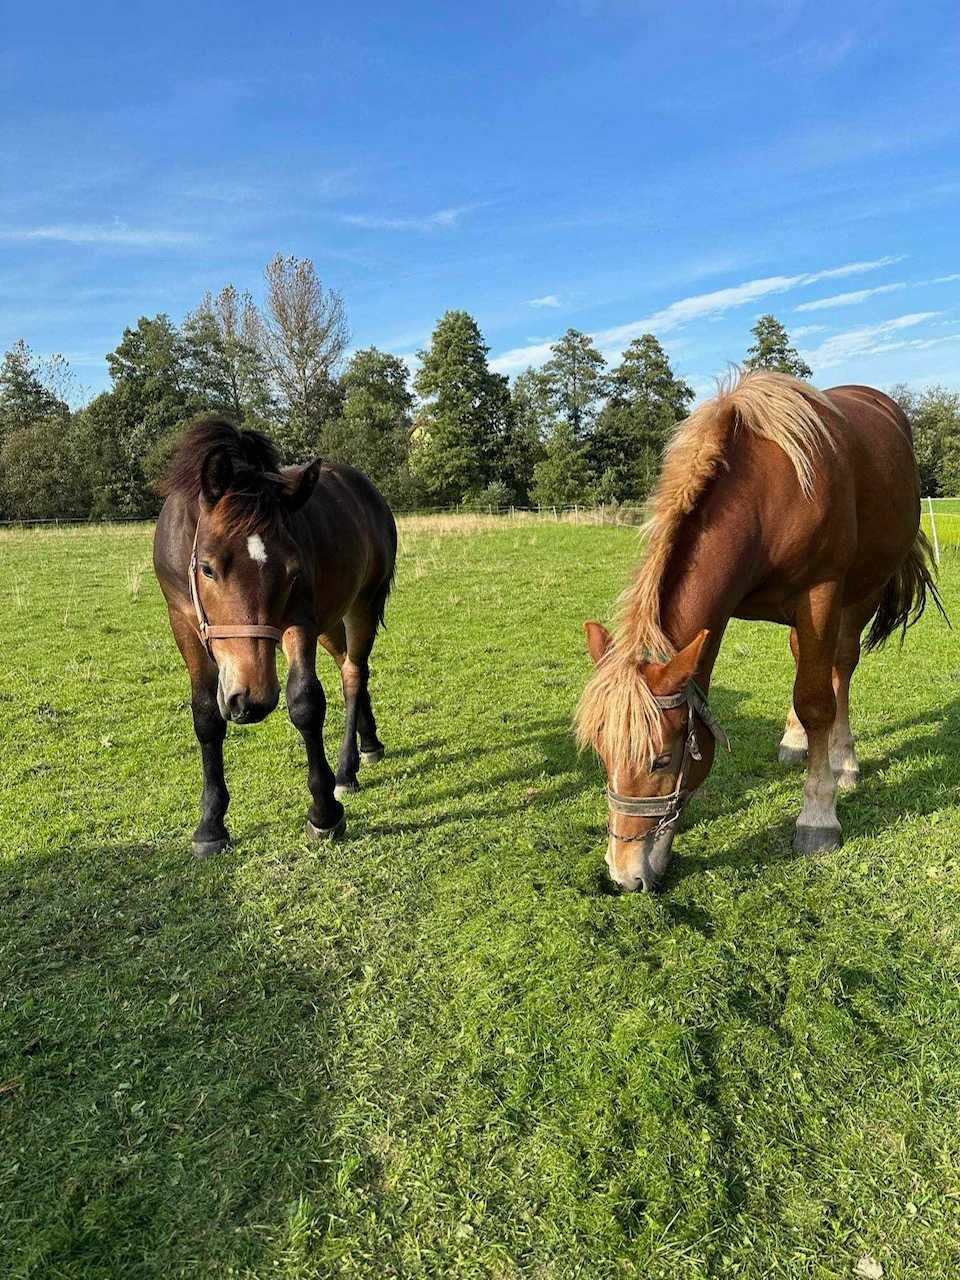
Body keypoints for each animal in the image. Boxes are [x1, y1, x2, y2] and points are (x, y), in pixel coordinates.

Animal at [154, 414, 399, 855]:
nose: (250, 699)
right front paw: (211, 824)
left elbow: (305, 703)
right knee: (349, 667)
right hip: (331, 621)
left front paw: (324, 813)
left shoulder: (298, 620)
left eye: (291, 571)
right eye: (208, 569)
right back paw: (368, 743)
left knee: (354, 674)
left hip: (363, 604)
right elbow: (206, 716)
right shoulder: (182, 622)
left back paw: (346, 770)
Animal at [576, 368, 942, 890]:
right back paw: (795, 742)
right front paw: (798, 742)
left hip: (860, 595)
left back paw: (844, 760)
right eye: (604, 757)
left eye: (661, 760)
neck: (767, 495)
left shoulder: (823, 594)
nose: (624, 875)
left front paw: (818, 817)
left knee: (841, 668)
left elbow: (817, 702)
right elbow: (805, 686)